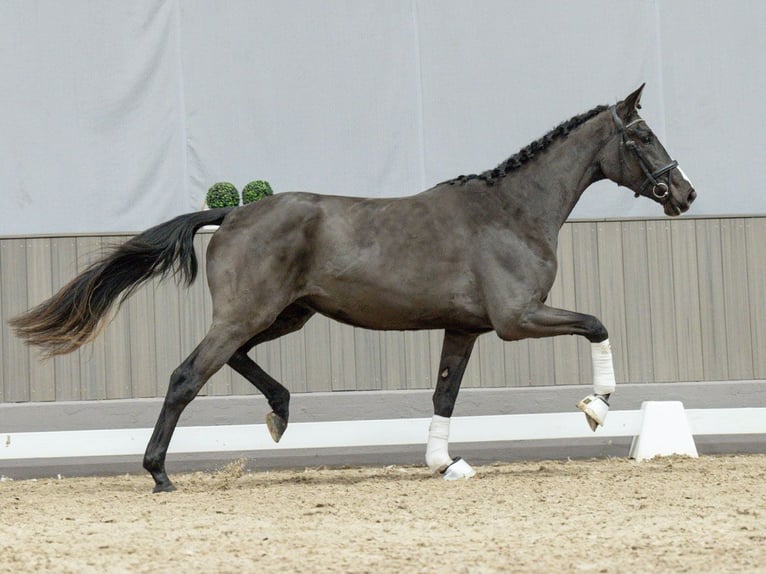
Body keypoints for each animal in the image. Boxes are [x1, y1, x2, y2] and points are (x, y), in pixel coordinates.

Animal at [10, 86, 696, 496]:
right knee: (187, 375)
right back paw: (159, 474)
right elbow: (598, 323)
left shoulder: (465, 327)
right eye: (643, 137)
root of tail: (231, 214)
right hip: (249, 313)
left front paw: (446, 464)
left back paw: (279, 413)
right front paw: (596, 407)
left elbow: (444, 396)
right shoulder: (517, 318)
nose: (685, 194)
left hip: (285, 315)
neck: (513, 212)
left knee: (233, 360)